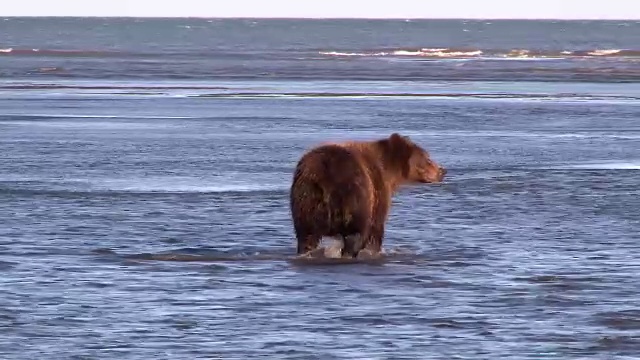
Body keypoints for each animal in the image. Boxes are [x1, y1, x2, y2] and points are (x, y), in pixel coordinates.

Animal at [288, 133, 444, 258]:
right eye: (428, 158)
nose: (443, 171)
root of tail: (325, 171)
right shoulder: (378, 190)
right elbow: (376, 229)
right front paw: (374, 250)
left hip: (305, 200)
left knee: (306, 236)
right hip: (355, 195)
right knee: (356, 232)